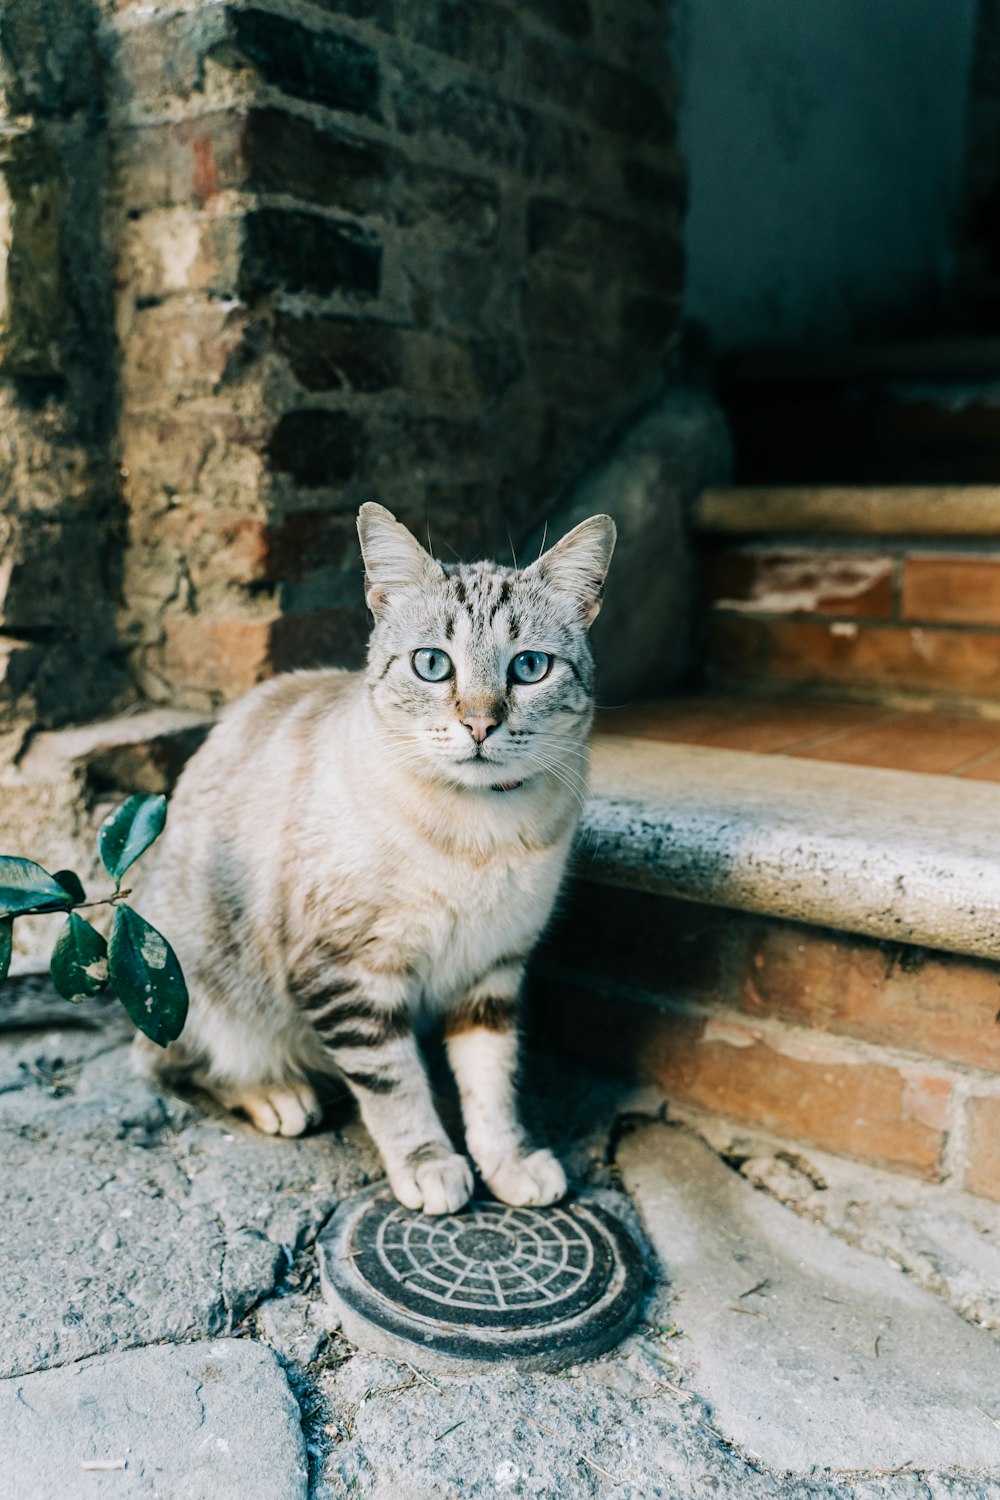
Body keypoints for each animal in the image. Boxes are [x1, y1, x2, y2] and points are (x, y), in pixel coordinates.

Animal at [132, 507, 617, 1218]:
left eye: (529, 667)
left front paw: (509, 1164)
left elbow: (492, 1086)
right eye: (432, 664)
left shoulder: (492, 971)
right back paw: (277, 1093)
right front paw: (430, 1166)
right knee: (175, 1063)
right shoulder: (349, 973)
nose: (480, 724)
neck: (481, 832)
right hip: (192, 977)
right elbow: (396, 1088)